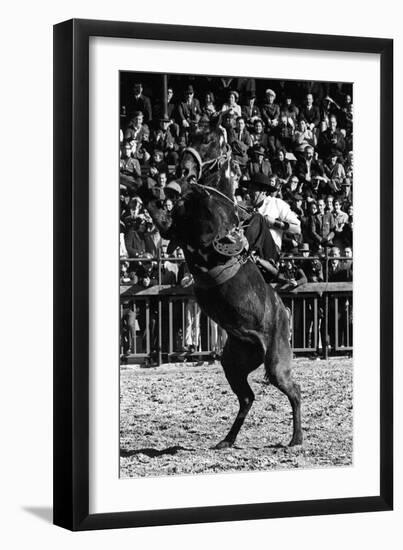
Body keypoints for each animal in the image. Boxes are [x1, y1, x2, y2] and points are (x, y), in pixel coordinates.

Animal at [142, 132, 304, 450]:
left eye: (209, 140)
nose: (184, 169)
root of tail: (283, 310)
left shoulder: (204, 240)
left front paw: (172, 185)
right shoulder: (172, 230)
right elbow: (155, 206)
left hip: (276, 362)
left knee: (294, 391)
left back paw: (296, 439)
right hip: (233, 361)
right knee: (247, 397)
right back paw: (226, 441)